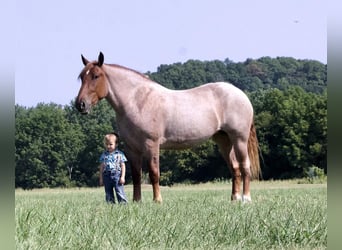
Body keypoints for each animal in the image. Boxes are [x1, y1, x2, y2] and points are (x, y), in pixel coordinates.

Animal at [76, 52, 260, 203]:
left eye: (96, 76)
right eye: (82, 77)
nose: (80, 105)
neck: (137, 101)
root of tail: (241, 94)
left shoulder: (151, 144)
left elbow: (154, 173)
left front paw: (157, 200)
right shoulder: (132, 148)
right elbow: (136, 175)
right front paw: (137, 201)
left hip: (239, 139)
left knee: (245, 166)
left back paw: (246, 198)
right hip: (223, 141)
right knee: (235, 168)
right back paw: (234, 198)